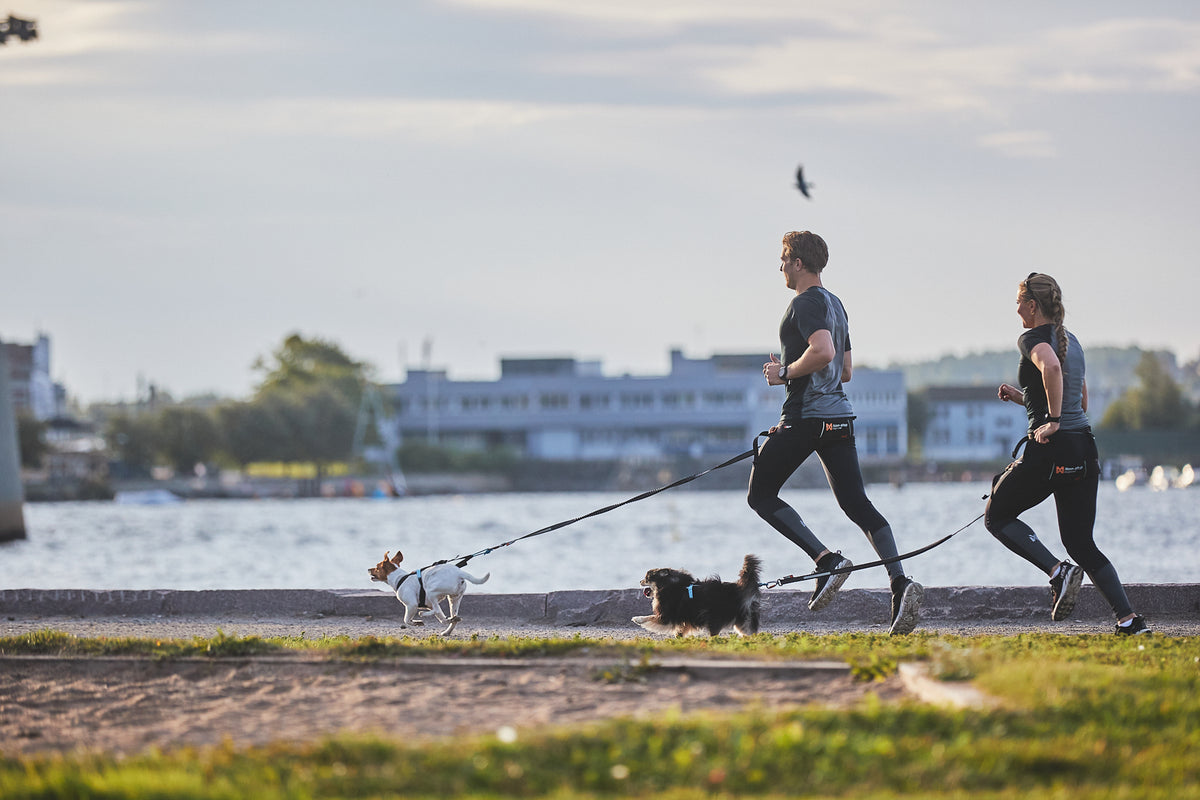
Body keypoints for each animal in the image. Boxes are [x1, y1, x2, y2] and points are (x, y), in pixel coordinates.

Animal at [633, 556, 763, 638]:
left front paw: (636, 619)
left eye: (647, 578)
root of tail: (740, 588)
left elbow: (649, 617)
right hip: (742, 621)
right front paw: (679, 639)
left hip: (716, 618)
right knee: (749, 632)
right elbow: (680, 630)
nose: (639, 581)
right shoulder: (685, 619)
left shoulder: (666, 616)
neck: (668, 584)